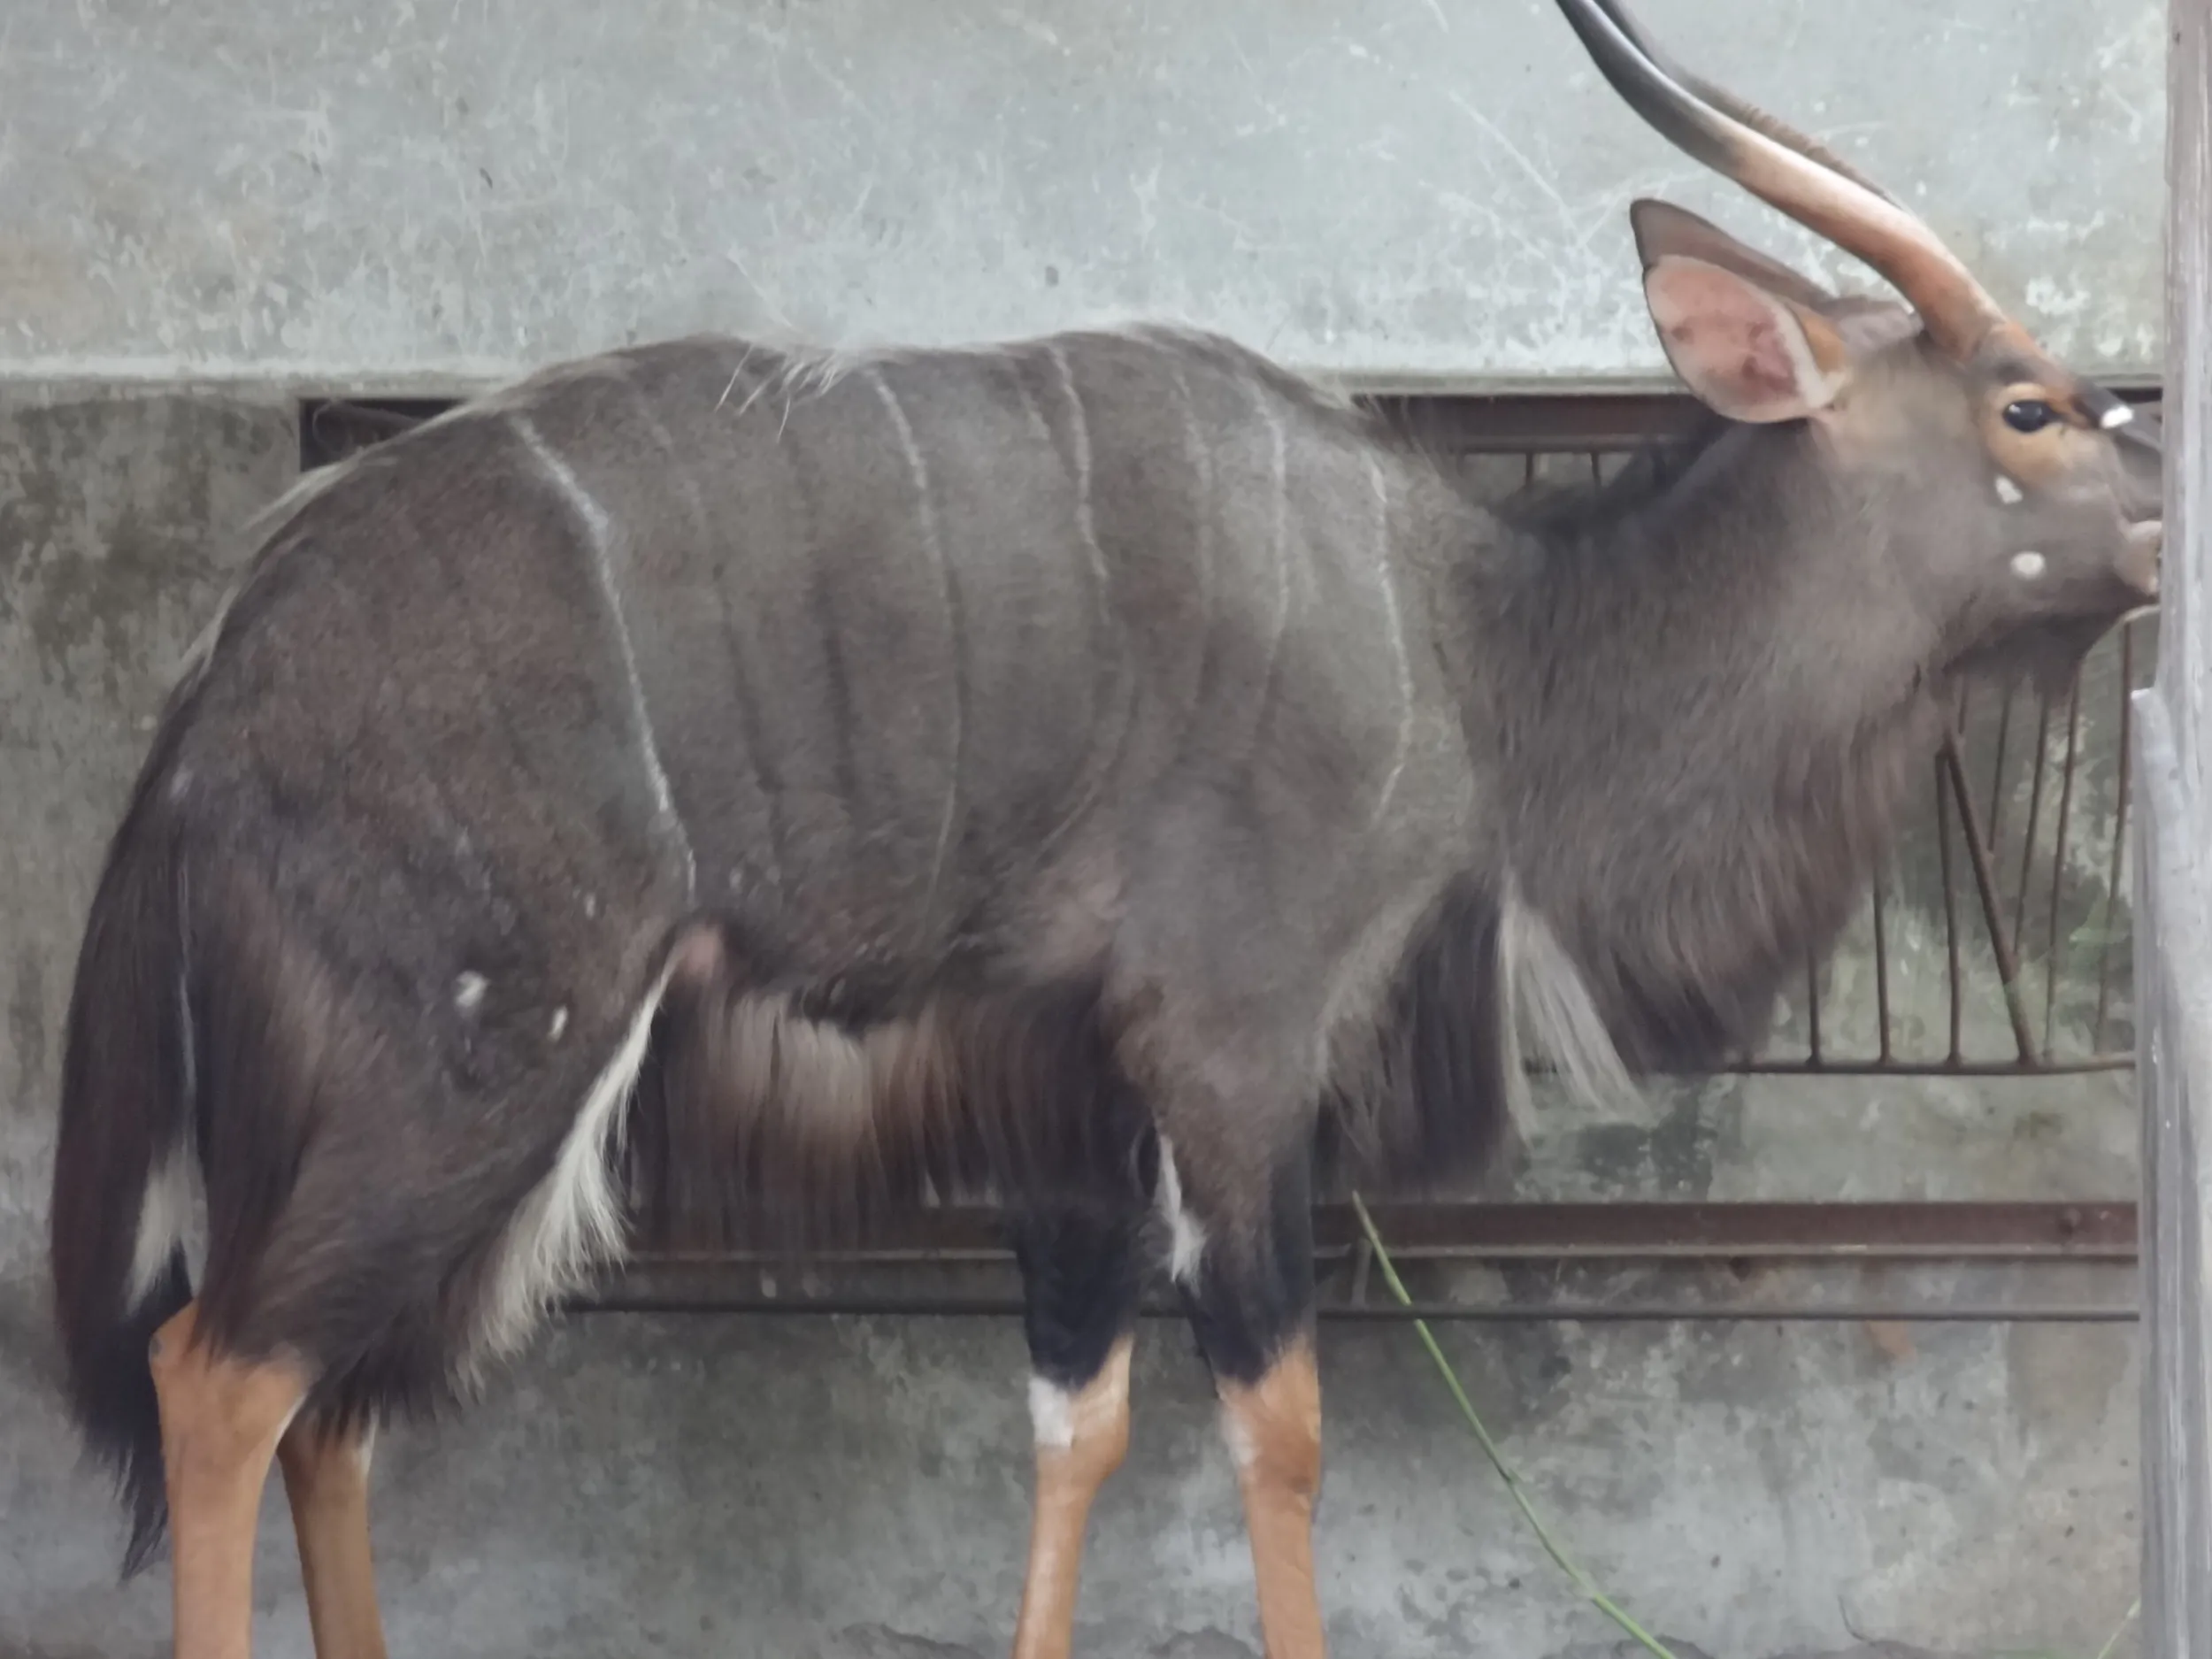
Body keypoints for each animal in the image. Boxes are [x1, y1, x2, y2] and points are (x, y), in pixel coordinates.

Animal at [45, 1, 2161, 1655]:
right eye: (2031, 408)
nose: (2161, 520)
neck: (1479, 650)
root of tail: (218, 683)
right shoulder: (1229, 1052)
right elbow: (1275, 1424)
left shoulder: (1062, 1103)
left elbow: (1079, 1420)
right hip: (470, 1067)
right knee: (221, 1377)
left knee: (330, 1408)